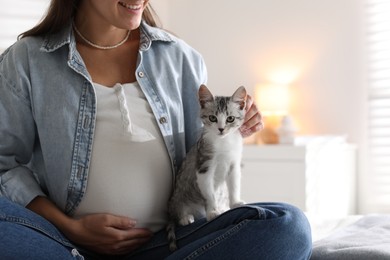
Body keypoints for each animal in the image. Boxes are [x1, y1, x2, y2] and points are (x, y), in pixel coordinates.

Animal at [165, 84, 247, 251]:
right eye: (212, 118)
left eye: (230, 118)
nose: (221, 129)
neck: (223, 142)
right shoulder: (204, 166)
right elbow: (209, 193)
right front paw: (213, 211)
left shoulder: (234, 164)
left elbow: (234, 185)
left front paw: (235, 203)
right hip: (178, 198)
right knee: (177, 214)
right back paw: (185, 217)